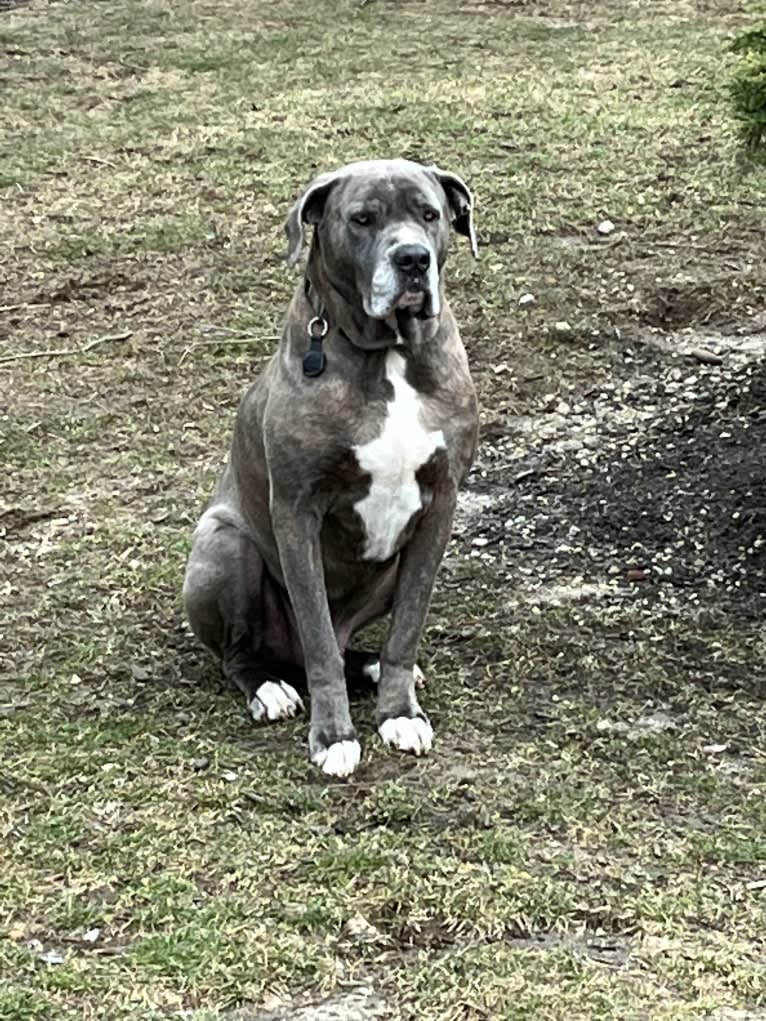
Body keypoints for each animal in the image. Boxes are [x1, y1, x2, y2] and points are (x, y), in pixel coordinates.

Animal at [181, 159, 477, 775]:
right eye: (362, 219)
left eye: (430, 214)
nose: (412, 259)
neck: (387, 353)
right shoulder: (297, 511)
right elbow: (317, 640)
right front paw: (334, 736)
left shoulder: (439, 507)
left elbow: (406, 630)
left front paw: (398, 713)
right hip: (224, 545)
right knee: (253, 653)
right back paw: (269, 687)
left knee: (347, 646)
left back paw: (367, 665)